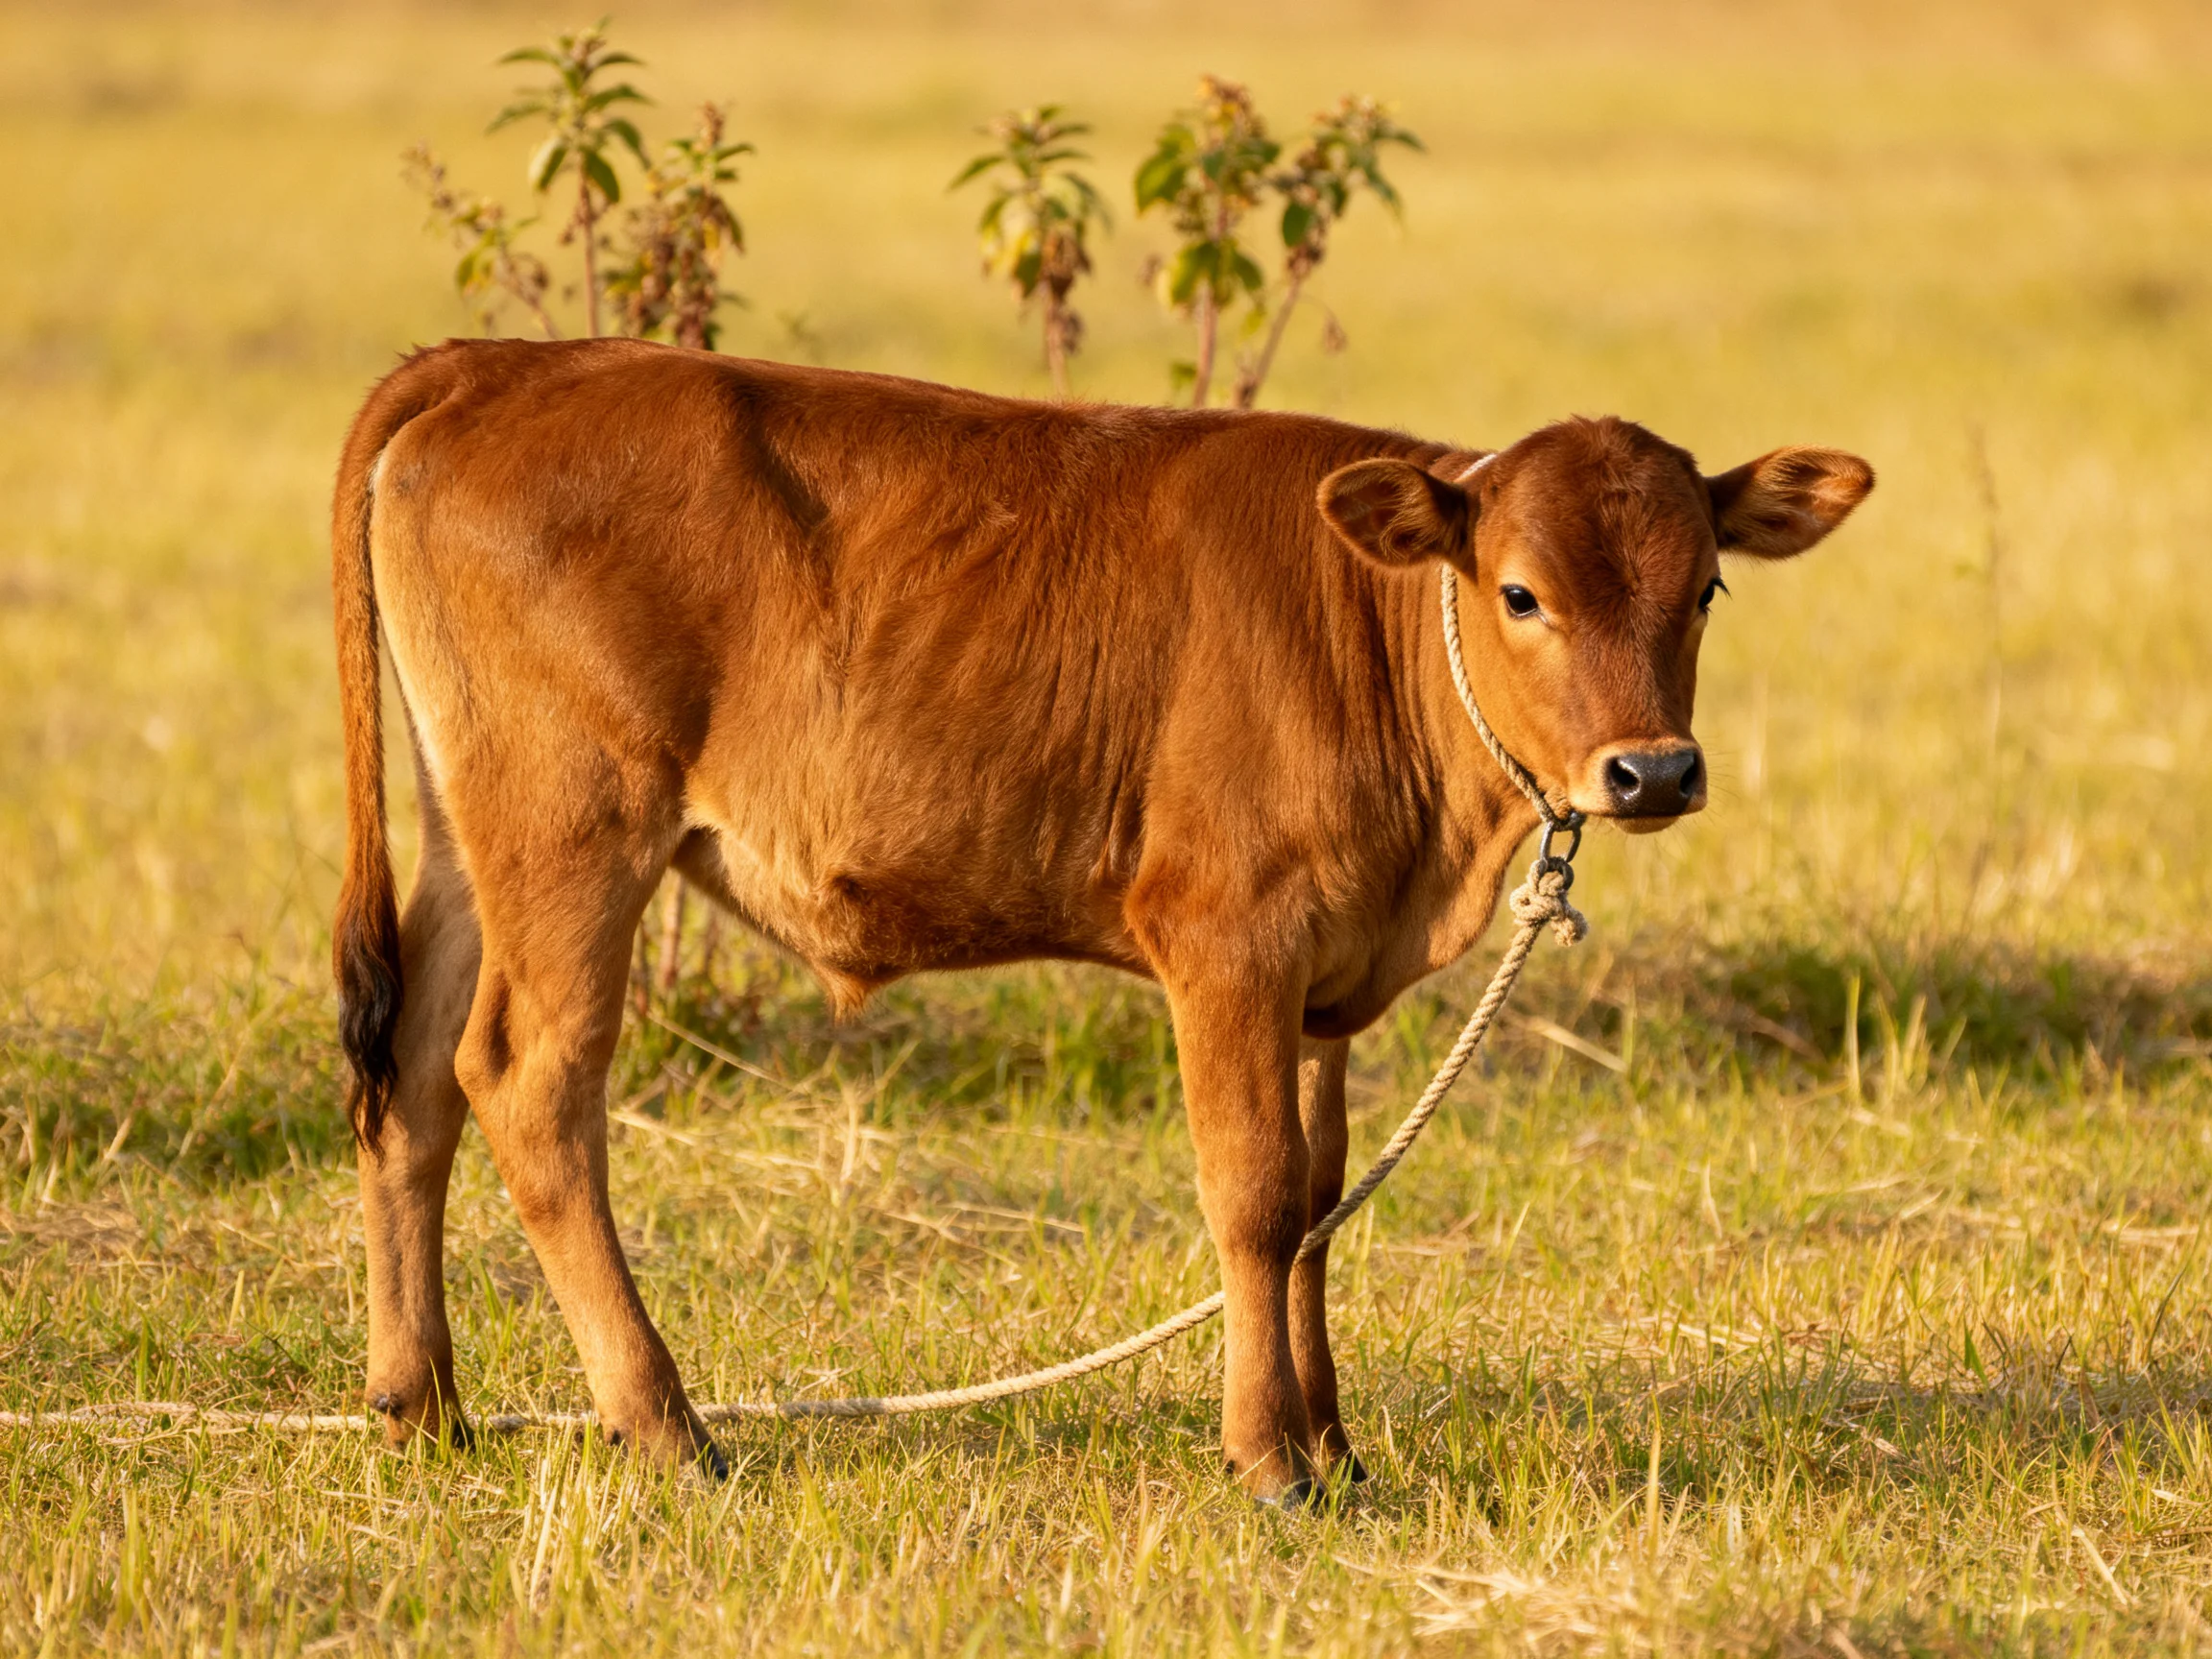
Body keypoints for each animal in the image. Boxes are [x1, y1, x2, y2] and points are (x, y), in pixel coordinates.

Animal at [331, 337, 1871, 1504]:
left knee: (412, 1080)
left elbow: (1320, 1202)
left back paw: (426, 1405)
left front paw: (1335, 1443)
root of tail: (509, 361)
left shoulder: (1323, 978)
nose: (1652, 771)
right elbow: (1254, 1193)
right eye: (1520, 593)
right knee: (529, 1084)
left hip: (470, 835)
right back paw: (662, 1423)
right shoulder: (1228, 942)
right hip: (576, 830)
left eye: (1706, 585)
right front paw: (1271, 1461)